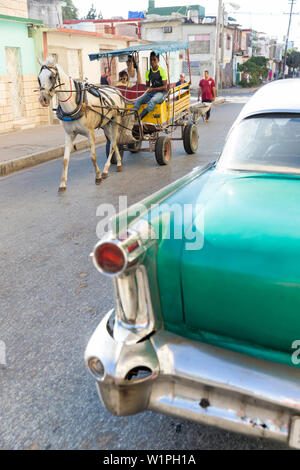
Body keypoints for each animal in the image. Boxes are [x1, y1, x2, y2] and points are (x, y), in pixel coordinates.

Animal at [37, 57, 125, 193]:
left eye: (51, 77)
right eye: (39, 78)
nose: (43, 99)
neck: (75, 104)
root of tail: (115, 89)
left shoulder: (90, 133)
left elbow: (93, 156)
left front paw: (98, 177)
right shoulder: (69, 134)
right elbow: (65, 159)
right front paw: (62, 184)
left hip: (116, 120)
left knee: (114, 143)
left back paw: (107, 169)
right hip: (106, 124)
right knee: (113, 142)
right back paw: (115, 164)